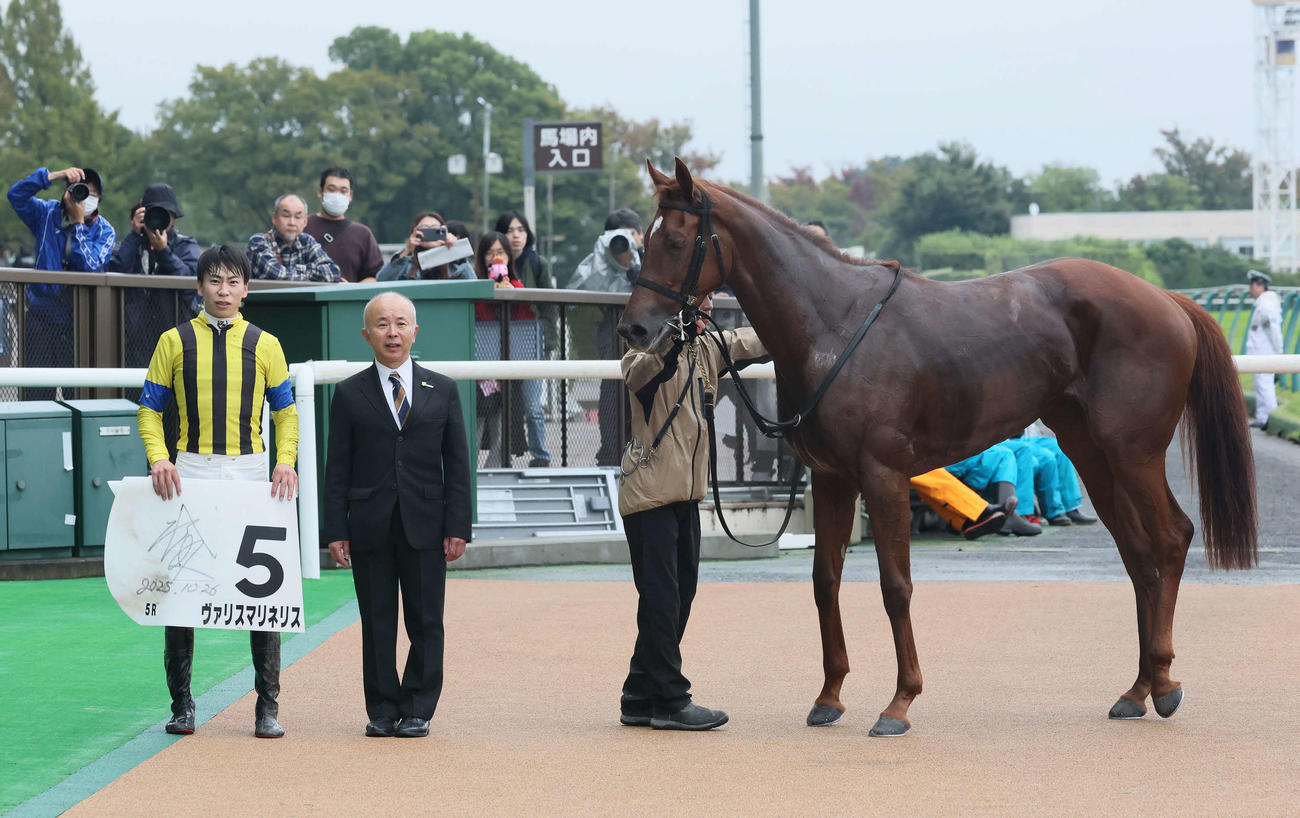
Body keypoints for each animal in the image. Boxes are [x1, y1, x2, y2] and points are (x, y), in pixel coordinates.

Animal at [617, 158, 1258, 737]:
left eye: (675, 239)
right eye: (646, 240)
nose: (635, 330)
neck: (834, 325)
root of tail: (1167, 299)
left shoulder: (882, 474)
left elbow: (895, 586)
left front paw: (899, 703)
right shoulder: (831, 478)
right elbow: (826, 581)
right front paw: (829, 697)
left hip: (1134, 452)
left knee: (1170, 539)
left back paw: (1166, 684)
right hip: (1093, 455)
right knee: (1138, 557)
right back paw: (1138, 689)